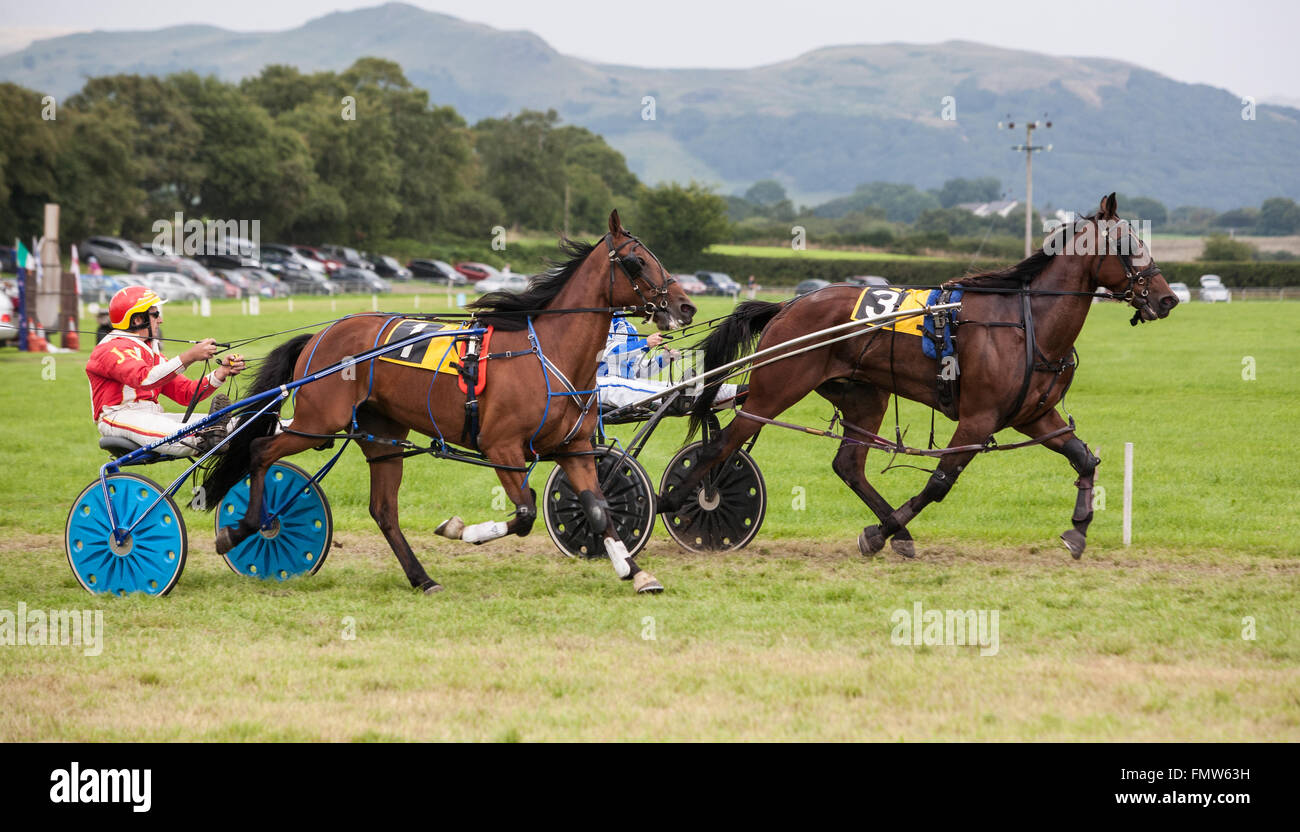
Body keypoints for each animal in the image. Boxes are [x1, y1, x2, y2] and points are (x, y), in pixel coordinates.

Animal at [200, 210, 691, 595]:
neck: (546, 353)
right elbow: (526, 512)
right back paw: (244, 528)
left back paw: (421, 577)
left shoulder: (574, 447)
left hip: (382, 435)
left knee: (384, 510)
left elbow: (598, 508)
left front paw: (636, 571)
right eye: (636, 260)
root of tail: (320, 335)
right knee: (261, 450)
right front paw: (461, 530)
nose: (685, 307)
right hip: (317, 421)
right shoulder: (502, 448)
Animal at [665, 193, 1185, 559]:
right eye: (1129, 245)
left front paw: (1077, 531)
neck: (1026, 324)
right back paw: (681, 502)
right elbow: (939, 483)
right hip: (776, 387)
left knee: (848, 465)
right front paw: (878, 534)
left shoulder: (1034, 414)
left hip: (864, 396)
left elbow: (1083, 459)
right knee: (722, 444)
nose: (1167, 298)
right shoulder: (978, 418)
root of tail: (788, 304)